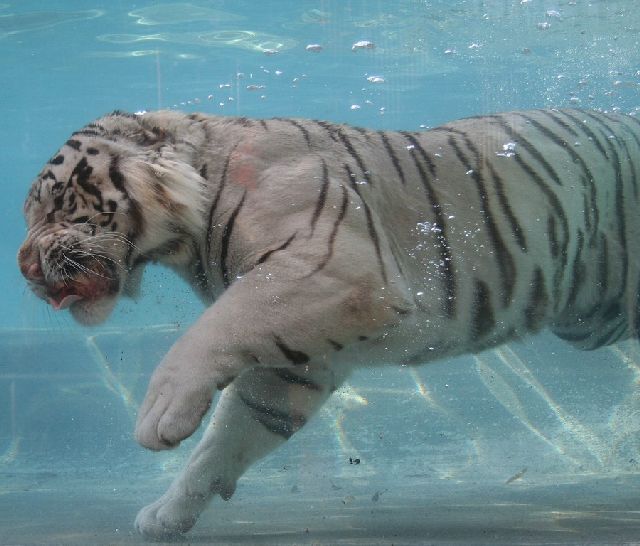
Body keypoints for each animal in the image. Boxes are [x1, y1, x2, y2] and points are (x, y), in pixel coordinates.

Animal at [17, 107, 640, 536]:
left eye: (53, 203)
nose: (23, 267)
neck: (186, 240)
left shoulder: (333, 268)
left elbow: (209, 332)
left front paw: (159, 415)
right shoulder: (301, 361)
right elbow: (226, 438)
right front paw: (166, 515)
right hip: (591, 316)